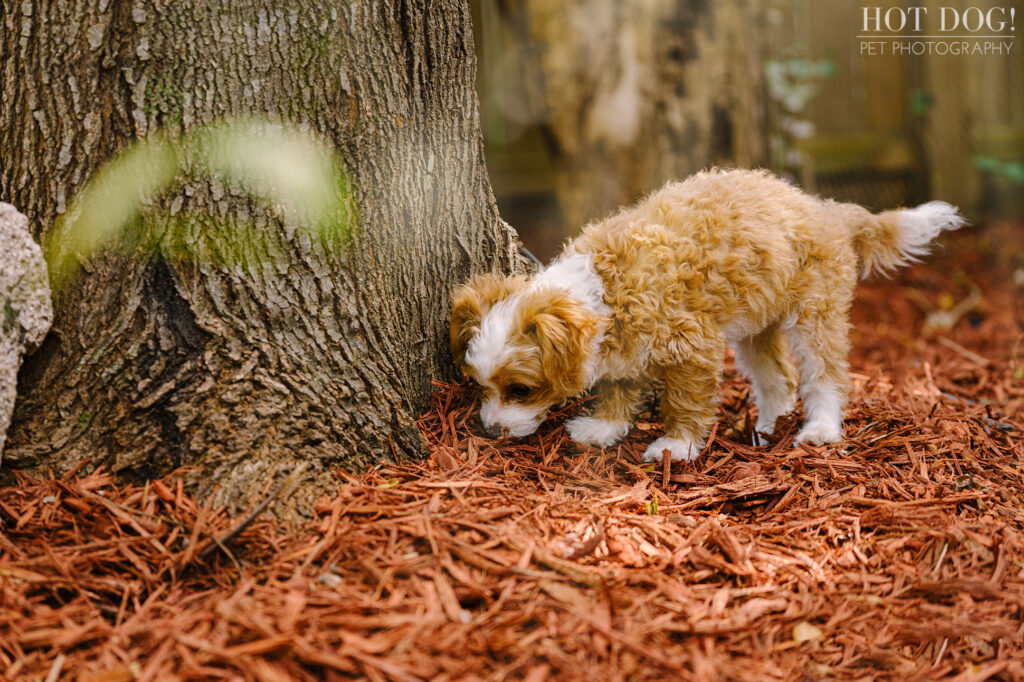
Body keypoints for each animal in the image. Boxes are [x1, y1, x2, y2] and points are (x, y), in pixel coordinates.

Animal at [446, 166, 958, 458]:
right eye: (480, 386)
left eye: (520, 389)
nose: (488, 429)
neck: (604, 288)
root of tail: (827, 208)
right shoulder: (625, 351)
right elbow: (618, 388)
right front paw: (604, 427)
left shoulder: (693, 349)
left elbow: (685, 401)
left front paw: (677, 445)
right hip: (756, 328)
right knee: (778, 380)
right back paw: (765, 428)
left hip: (816, 316)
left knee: (823, 377)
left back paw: (820, 429)